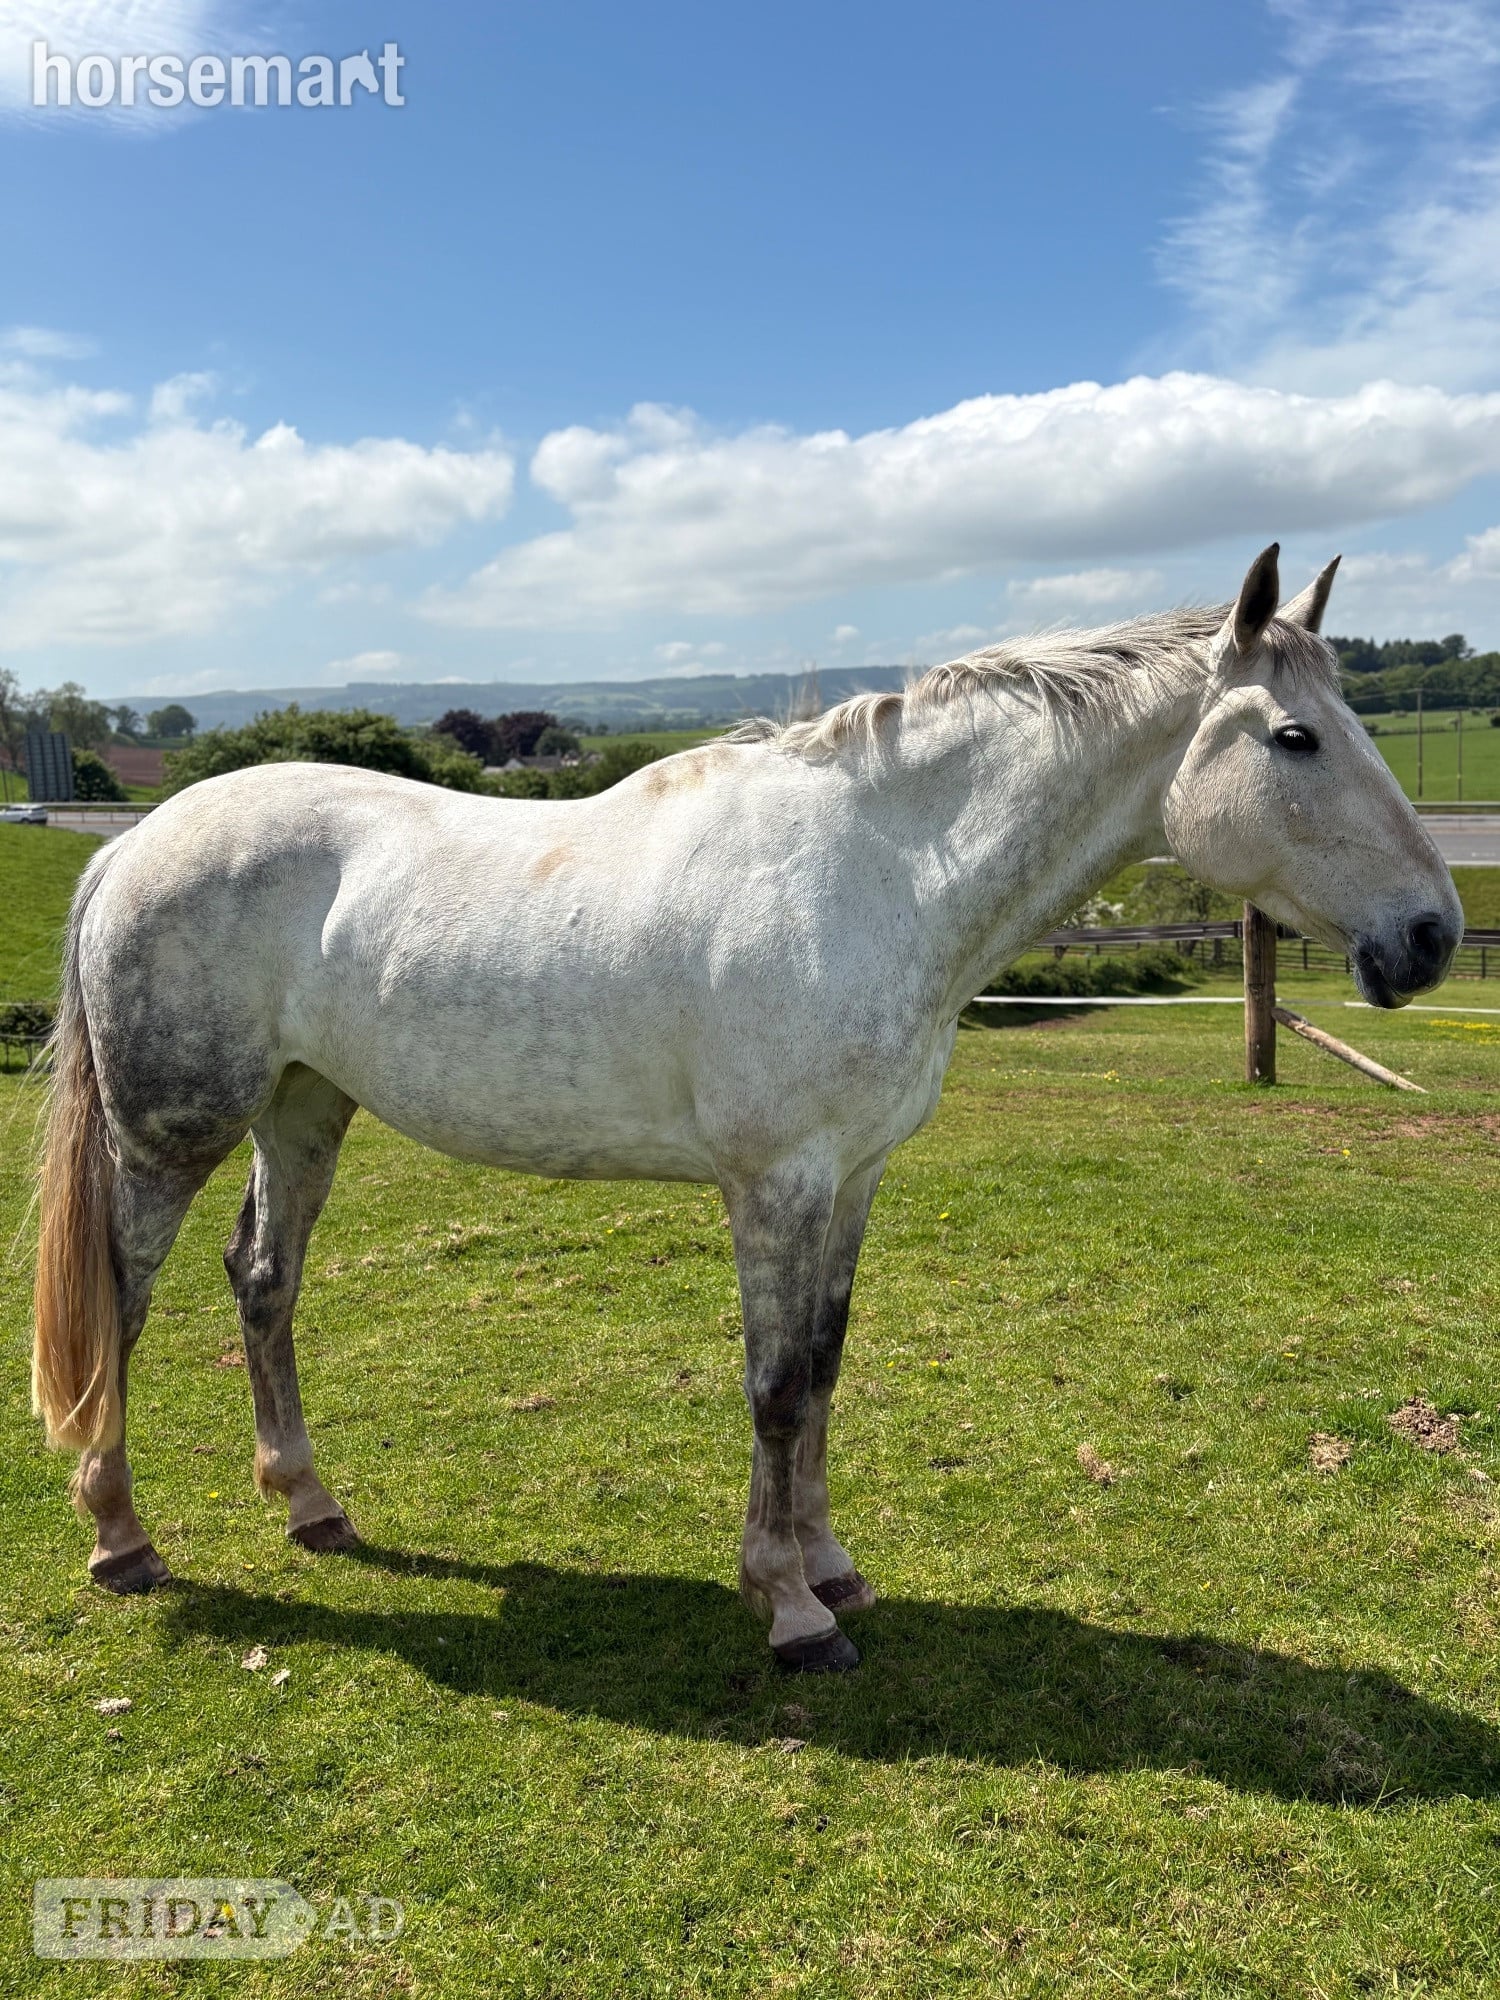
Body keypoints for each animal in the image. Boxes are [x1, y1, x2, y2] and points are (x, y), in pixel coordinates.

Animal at [32, 545, 1460, 1671]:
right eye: (1294, 737)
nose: (1431, 935)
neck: (882, 870)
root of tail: (134, 840)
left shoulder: (855, 1175)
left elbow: (824, 1368)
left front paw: (831, 1565)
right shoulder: (775, 1182)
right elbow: (774, 1385)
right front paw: (788, 1608)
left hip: (303, 1110)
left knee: (263, 1282)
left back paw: (311, 1505)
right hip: (168, 1137)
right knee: (123, 1301)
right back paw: (122, 1536)